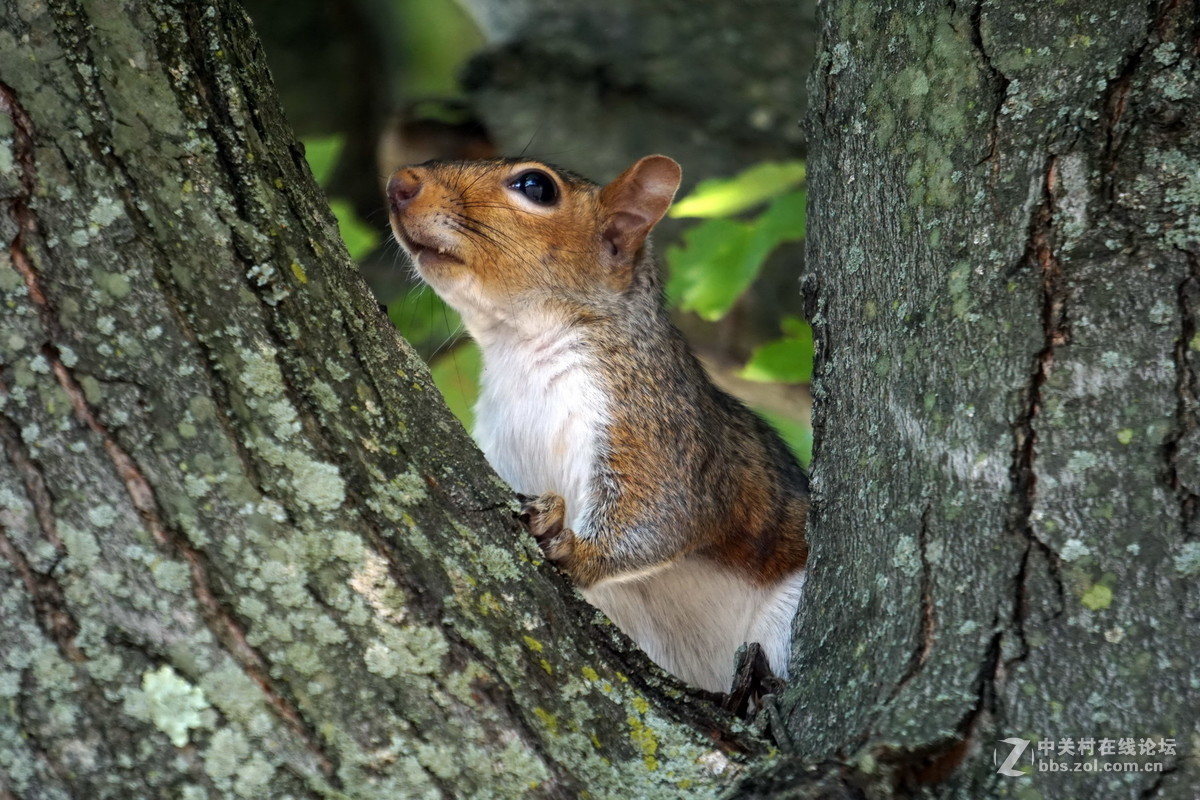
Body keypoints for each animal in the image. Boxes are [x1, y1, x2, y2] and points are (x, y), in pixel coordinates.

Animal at [388, 155, 811, 695]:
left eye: (536, 186)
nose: (400, 183)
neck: (518, 350)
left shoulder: (653, 419)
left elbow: (662, 510)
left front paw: (570, 547)